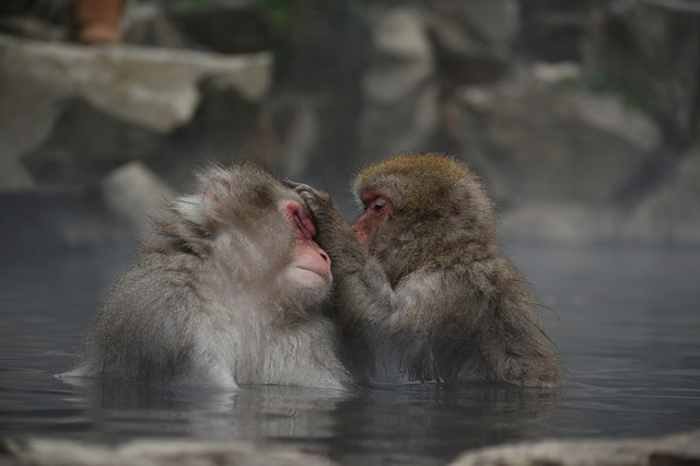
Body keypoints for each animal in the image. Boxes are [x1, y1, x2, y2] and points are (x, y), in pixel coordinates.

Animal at [65, 162, 350, 388]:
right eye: (299, 221)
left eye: (314, 234)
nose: (324, 255)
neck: (247, 297)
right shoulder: (168, 314)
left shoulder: (302, 343)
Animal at [292, 153, 560, 386]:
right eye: (365, 207)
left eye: (377, 207)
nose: (355, 228)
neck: (443, 253)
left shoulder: (447, 287)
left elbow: (388, 331)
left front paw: (327, 217)